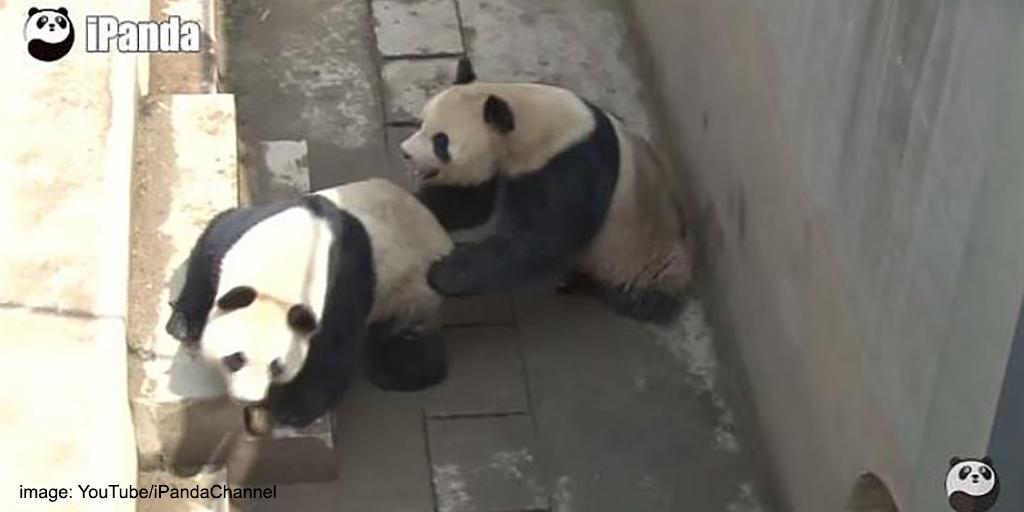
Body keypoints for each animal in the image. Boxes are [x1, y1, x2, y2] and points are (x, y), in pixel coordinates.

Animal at [165, 178, 453, 427]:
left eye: (276, 366)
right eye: (235, 358)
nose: (247, 399)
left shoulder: (340, 286)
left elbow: (335, 348)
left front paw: (293, 410)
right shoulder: (242, 234)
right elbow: (212, 242)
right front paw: (184, 324)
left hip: (414, 292)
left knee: (410, 339)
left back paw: (396, 371)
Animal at [399, 58, 692, 323]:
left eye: (441, 141)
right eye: (421, 122)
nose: (406, 153)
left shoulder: (572, 166)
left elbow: (541, 241)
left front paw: (441, 271)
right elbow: (471, 201)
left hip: (646, 255)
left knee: (643, 296)